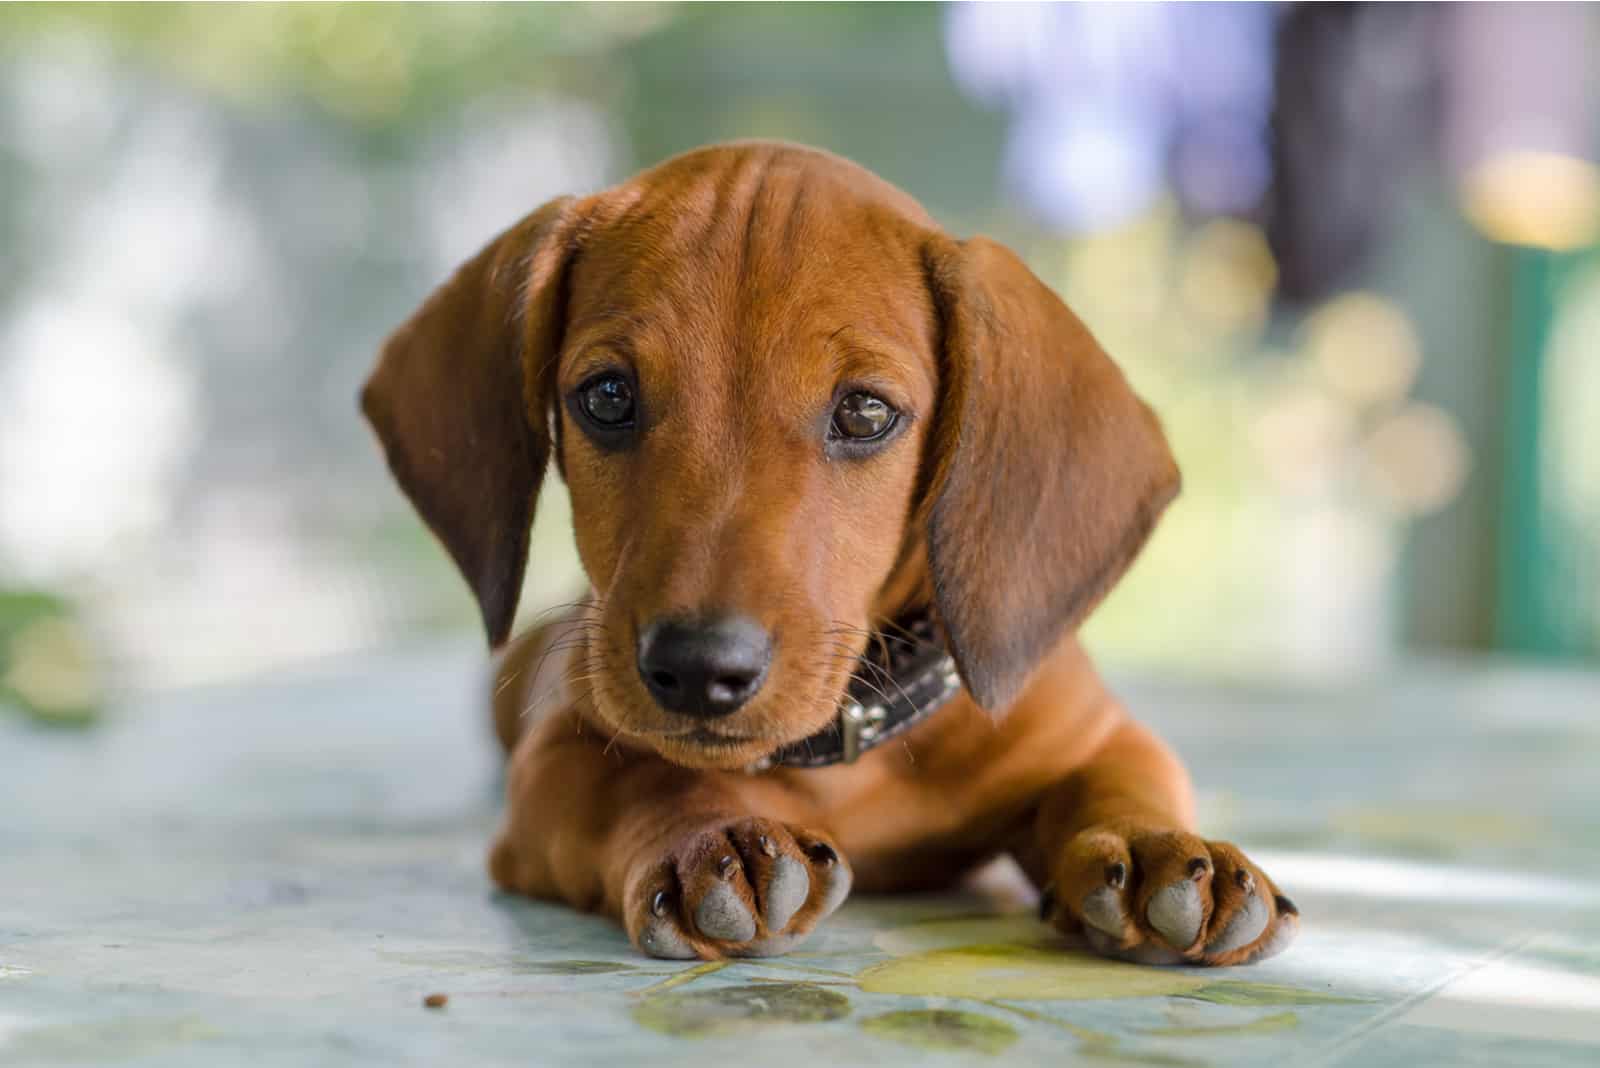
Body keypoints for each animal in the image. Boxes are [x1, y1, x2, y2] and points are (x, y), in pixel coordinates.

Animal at [366, 141, 1299, 965]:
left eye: (865, 412)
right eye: (605, 396)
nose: (698, 669)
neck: (847, 742)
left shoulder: (1094, 734)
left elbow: (1117, 782)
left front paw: (1153, 847)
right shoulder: (557, 763)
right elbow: (649, 779)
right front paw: (713, 837)